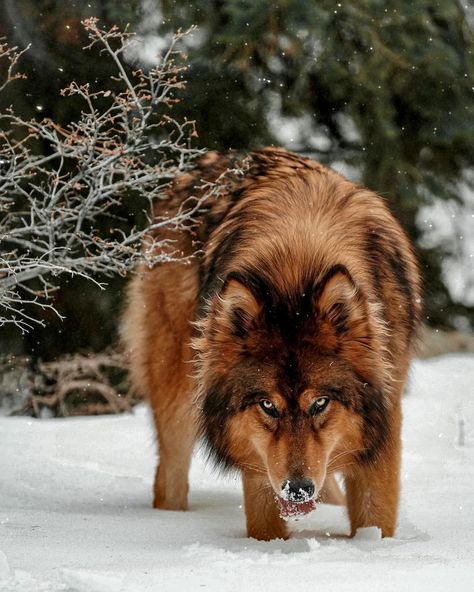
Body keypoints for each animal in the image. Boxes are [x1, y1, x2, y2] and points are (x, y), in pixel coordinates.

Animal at [120, 147, 420, 540]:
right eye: (267, 406)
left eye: (320, 403)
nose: (298, 489)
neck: (296, 270)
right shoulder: (258, 458)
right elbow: (265, 526)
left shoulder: (384, 420)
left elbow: (375, 519)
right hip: (178, 398)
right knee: (168, 479)